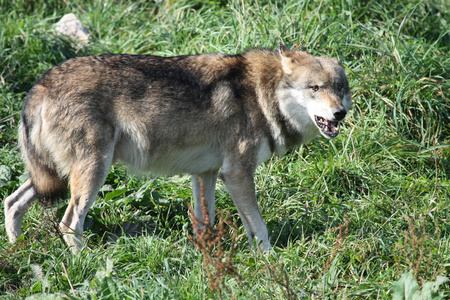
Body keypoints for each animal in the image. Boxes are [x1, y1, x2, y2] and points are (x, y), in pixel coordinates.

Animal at [3, 44, 352, 251]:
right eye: (314, 88)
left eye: (339, 88)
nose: (340, 114)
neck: (260, 94)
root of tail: (40, 84)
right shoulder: (237, 174)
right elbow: (259, 227)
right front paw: (267, 261)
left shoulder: (207, 174)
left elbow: (206, 222)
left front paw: (211, 257)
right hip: (92, 174)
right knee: (68, 223)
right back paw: (85, 262)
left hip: (52, 178)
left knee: (12, 202)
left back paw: (17, 249)